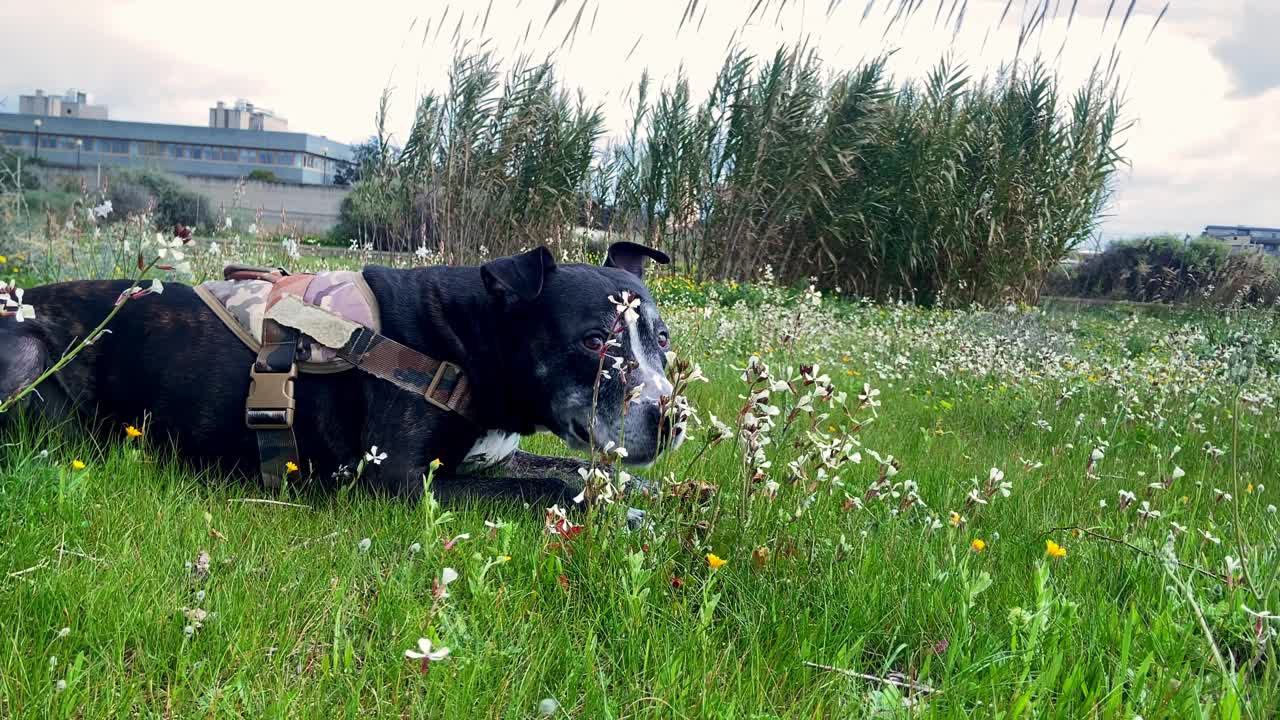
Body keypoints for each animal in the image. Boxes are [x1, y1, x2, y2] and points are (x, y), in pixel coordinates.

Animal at [2, 240, 680, 504]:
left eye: (663, 338)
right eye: (595, 341)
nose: (672, 420)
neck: (470, 341)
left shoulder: (493, 456)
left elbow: (576, 469)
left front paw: (657, 493)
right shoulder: (400, 478)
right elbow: (552, 487)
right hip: (30, 352)